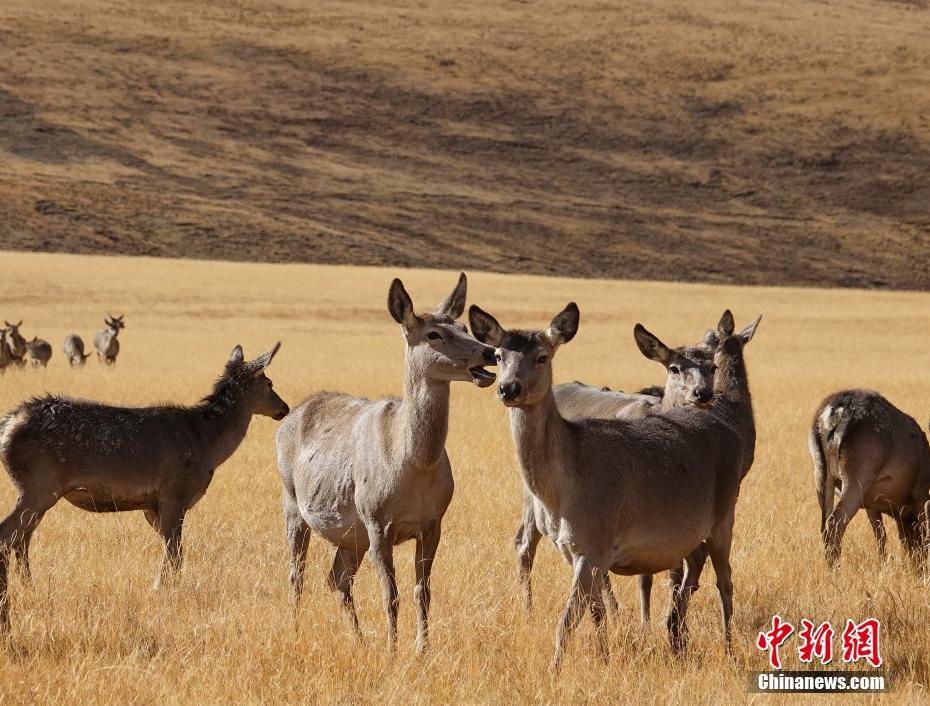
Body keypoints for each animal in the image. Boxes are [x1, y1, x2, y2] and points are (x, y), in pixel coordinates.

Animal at [0, 340, 288, 628]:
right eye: (270, 383)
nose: (284, 408)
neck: (207, 445)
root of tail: (8, 425)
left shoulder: (152, 505)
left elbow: (170, 549)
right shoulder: (174, 492)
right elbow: (175, 551)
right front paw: (163, 588)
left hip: (38, 491)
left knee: (21, 538)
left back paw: (29, 586)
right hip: (38, 485)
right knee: (9, 535)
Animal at [274, 272, 496, 652]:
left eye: (464, 325)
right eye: (433, 334)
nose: (490, 352)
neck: (413, 467)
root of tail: (287, 420)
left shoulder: (433, 522)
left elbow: (422, 592)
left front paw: (422, 649)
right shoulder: (377, 520)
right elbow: (390, 594)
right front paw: (393, 650)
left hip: (352, 535)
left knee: (336, 578)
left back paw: (360, 640)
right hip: (293, 501)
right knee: (297, 573)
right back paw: (295, 629)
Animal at [516, 324, 716, 620]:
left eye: (712, 366)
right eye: (674, 368)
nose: (702, 394)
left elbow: (673, 567)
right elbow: (643, 576)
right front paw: (643, 620)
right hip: (532, 499)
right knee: (524, 546)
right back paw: (529, 608)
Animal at [804, 388, 928, 568]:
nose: (919, 567)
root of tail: (833, 416)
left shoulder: (871, 504)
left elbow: (880, 536)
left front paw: (884, 565)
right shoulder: (920, 490)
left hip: (821, 474)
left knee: (824, 525)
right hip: (857, 477)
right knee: (835, 521)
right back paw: (836, 570)